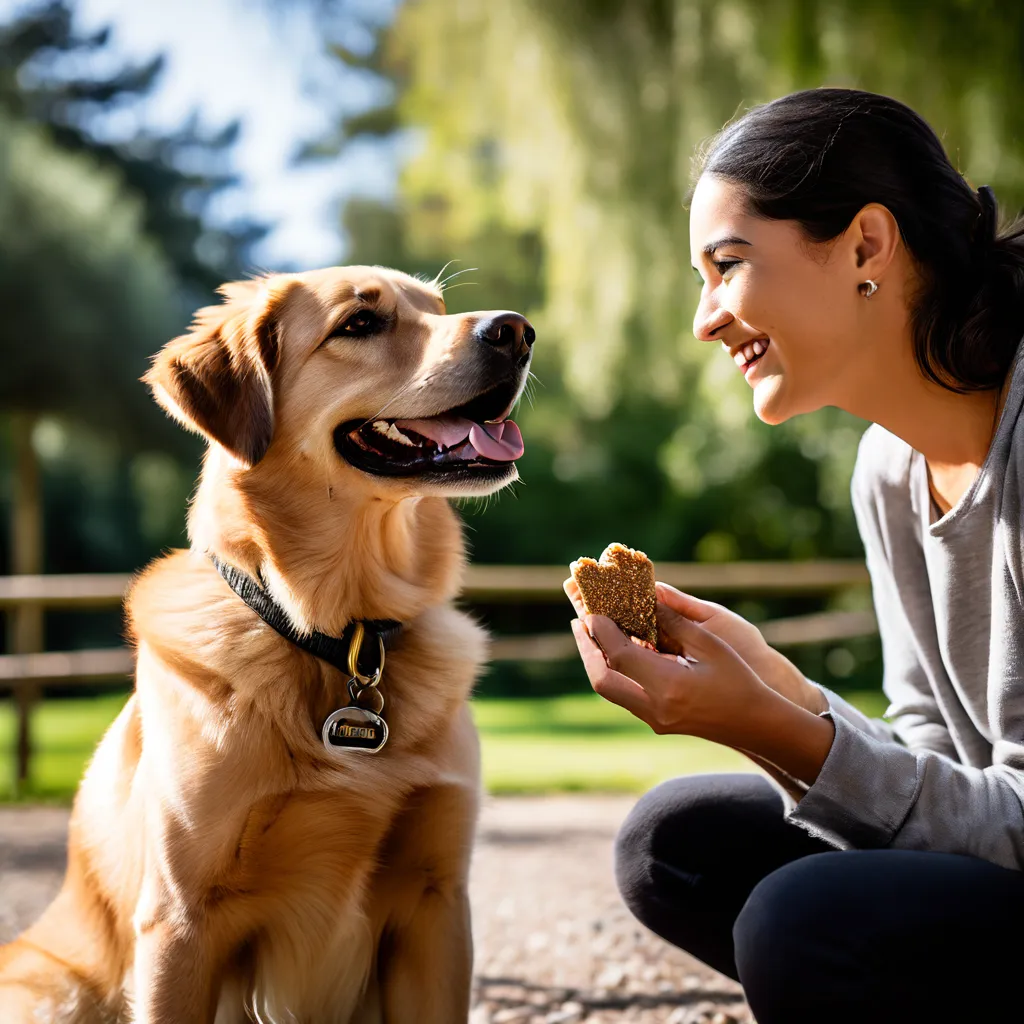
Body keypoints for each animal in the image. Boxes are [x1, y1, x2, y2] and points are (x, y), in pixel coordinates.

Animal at [0, 266, 540, 1024]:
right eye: (359, 323)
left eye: (436, 307)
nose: (517, 331)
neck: (342, 634)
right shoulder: (180, 921)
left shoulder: (437, 905)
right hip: (52, 991)